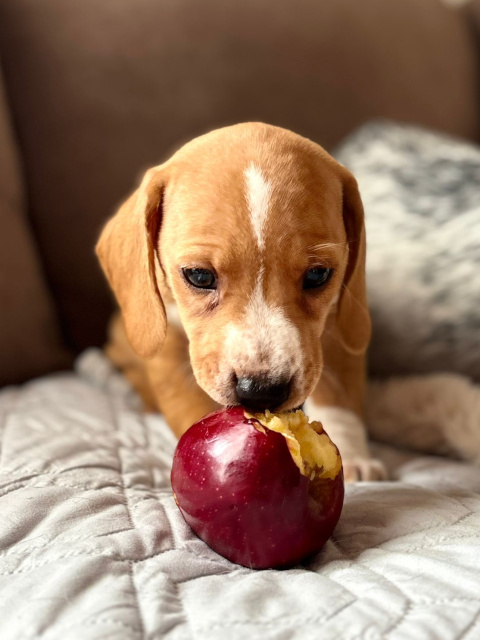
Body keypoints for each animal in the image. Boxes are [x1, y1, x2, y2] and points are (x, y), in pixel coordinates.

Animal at [97, 122, 387, 482]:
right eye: (199, 276)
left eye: (318, 274)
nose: (261, 391)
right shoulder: (167, 347)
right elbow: (186, 404)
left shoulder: (337, 323)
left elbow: (339, 396)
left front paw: (354, 457)